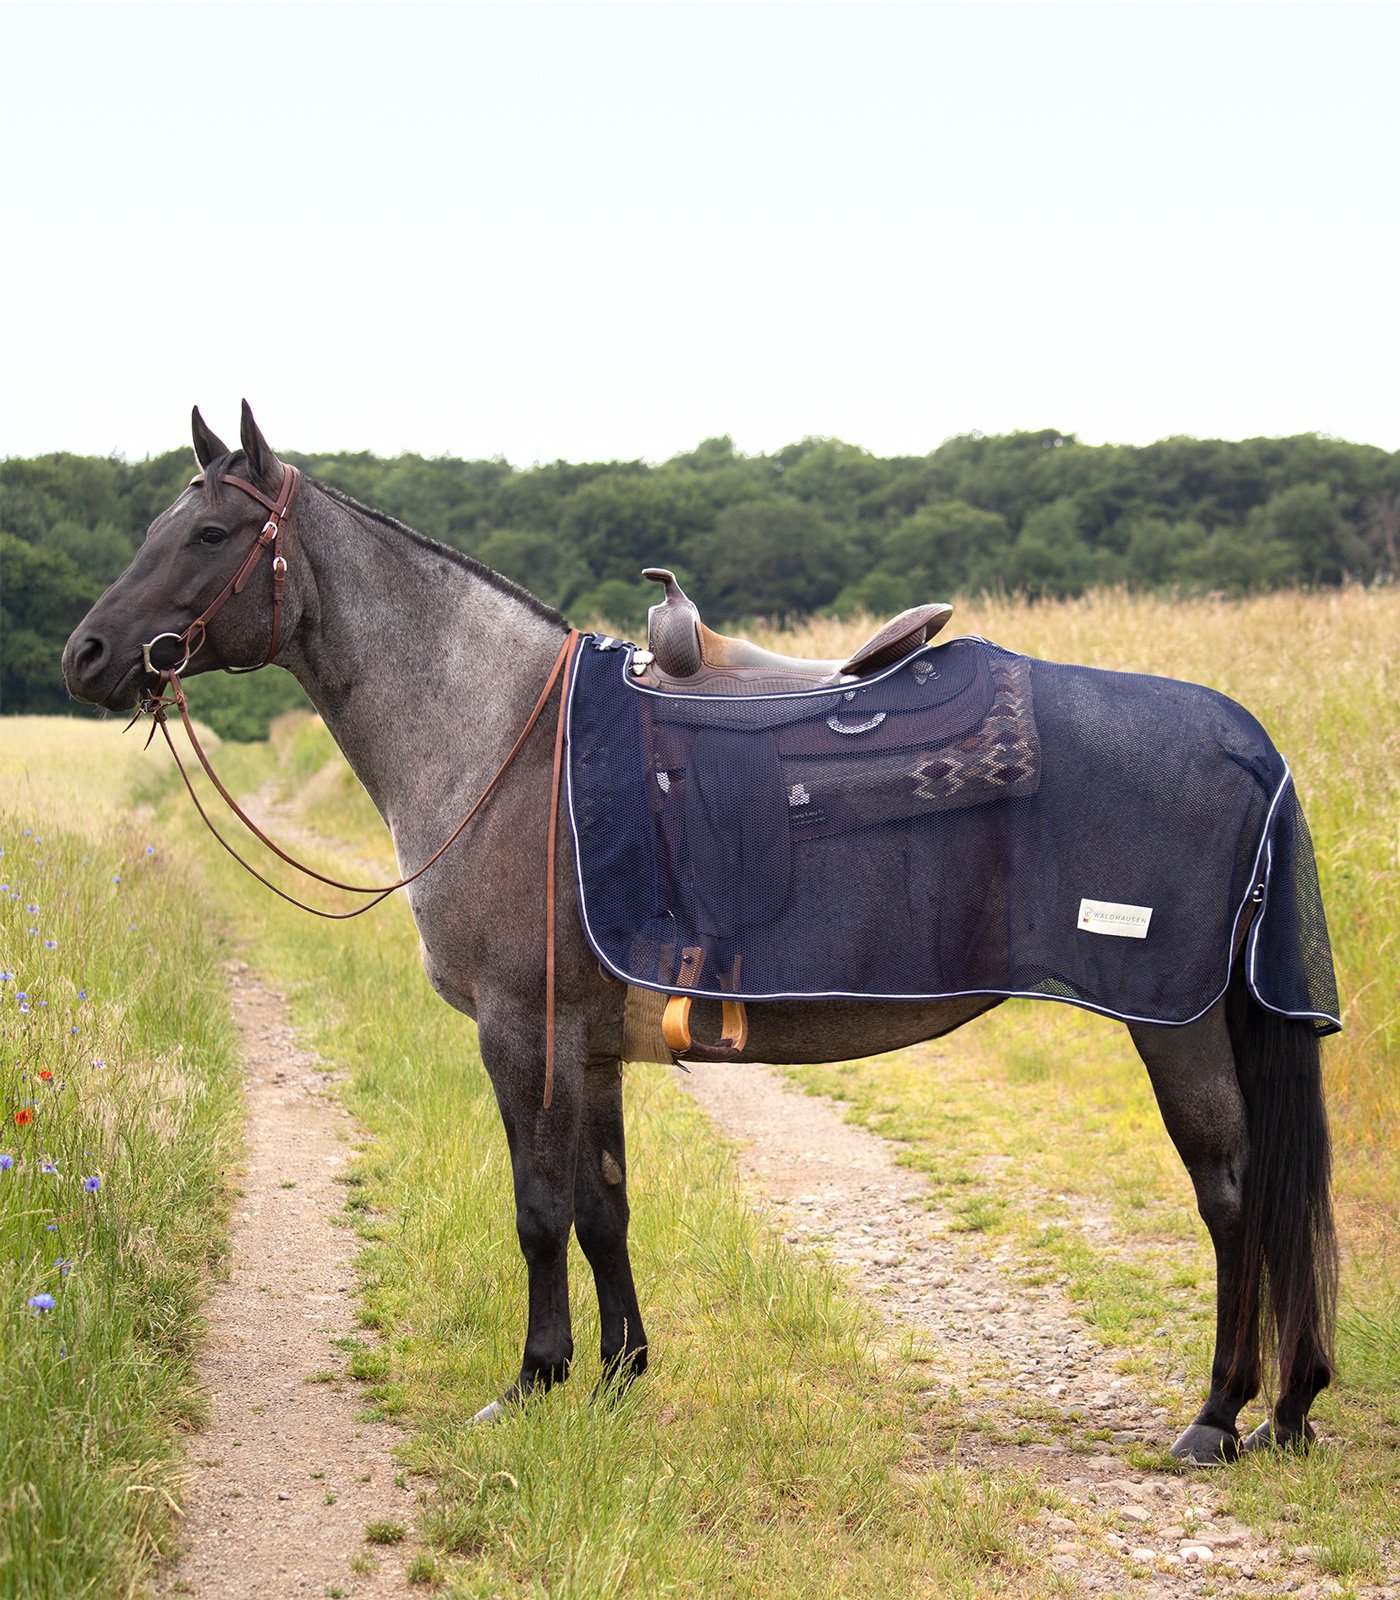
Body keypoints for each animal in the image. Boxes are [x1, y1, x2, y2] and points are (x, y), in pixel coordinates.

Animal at [62, 403, 1337, 1465]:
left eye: (210, 530)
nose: (85, 654)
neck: (505, 740)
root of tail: (1242, 739)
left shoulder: (520, 1029)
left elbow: (538, 1207)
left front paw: (533, 1380)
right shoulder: (586, 1039)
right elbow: (603, 1203)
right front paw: (619, 1373)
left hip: (1171, 1021)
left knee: (1231, 1198)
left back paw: (1216, 1416)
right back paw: (1287, 1405)